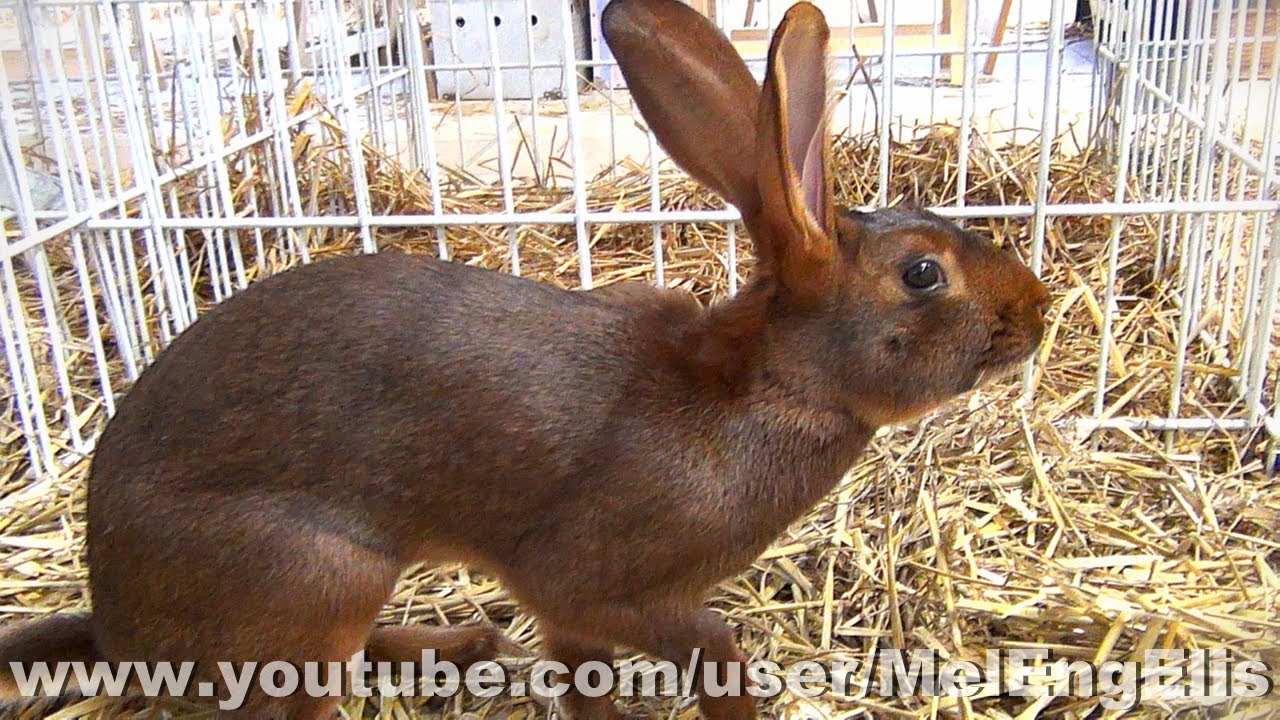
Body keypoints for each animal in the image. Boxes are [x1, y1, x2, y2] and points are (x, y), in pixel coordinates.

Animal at [0, 0, 1049, 717]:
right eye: (924, 273)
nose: (1035, 313)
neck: (763, 386)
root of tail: (118, 625)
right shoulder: (602, 588)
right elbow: (709, 651)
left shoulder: (576, 614)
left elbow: (585, 678)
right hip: (318, 573)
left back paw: (463, 645)